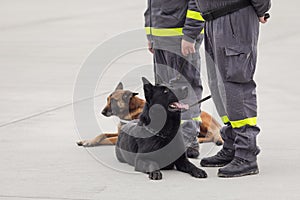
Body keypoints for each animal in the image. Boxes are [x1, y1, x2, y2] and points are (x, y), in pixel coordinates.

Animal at [77, 82, 223, 147]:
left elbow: (105, 138)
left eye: (113, 101)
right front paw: (87, 140)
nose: (102, 112)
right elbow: (102, 134)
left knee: (212, 134)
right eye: (107, 99)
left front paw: (90, 142)